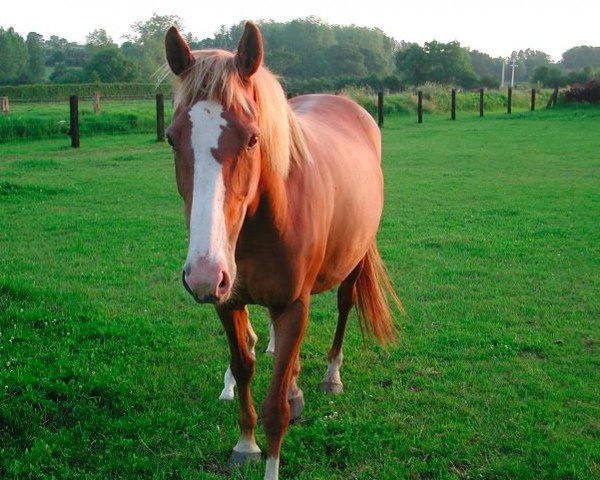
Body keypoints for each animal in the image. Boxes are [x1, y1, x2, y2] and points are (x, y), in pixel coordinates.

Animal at [163, 21, 404, 480]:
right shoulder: (229, 302)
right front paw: (245, 443)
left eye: (252, 138)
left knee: (344, 307)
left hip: (352, 262)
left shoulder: (294, 304)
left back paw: (330, 376)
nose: (203, 274)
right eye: (171, 139)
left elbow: (276, 410)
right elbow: (244, 367)